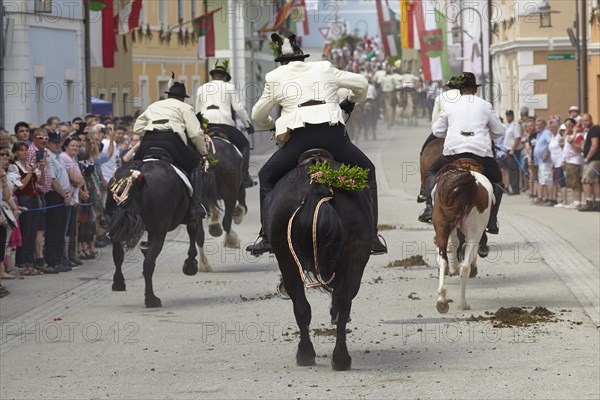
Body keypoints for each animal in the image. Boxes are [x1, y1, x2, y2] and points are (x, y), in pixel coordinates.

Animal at [106, 159, 200, 306]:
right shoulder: (189, 218)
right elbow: (192, 230)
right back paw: (151, 299)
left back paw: (119, 283)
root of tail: (136, 175)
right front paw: (190, 264)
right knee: (149, 264)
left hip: (116, 227)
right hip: (159, 232)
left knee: (118, 255)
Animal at [197, 130, 248, 270]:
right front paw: (238, 214)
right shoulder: (239, 189)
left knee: (199, 235)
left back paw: (204, 264)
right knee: (226, 222)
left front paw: (214, 223)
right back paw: (232, 240)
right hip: (231, 194)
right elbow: (242, 206)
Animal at [434, 159, 494, 312]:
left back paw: (448, 300)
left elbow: (453, 245)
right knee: (462, 264)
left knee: (447, 259)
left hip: (444, 228)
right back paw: (455, 301)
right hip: (470, 232)